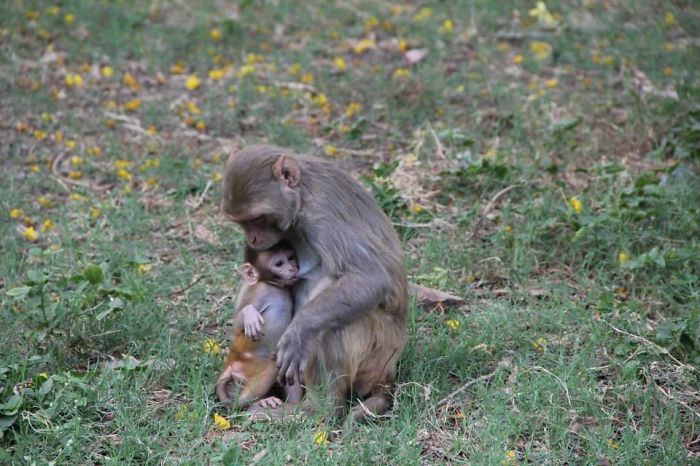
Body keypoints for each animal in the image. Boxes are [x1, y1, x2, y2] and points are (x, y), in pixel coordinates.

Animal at [216, 242, 303, 409]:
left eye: (291, 257)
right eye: (279, 264)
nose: (292, 268)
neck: (273, 286)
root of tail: (230, 361)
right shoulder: (256, 290)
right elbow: (237, 325)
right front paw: (249, 314)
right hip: (247, 365)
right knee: (270, 368)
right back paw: (252, 402)